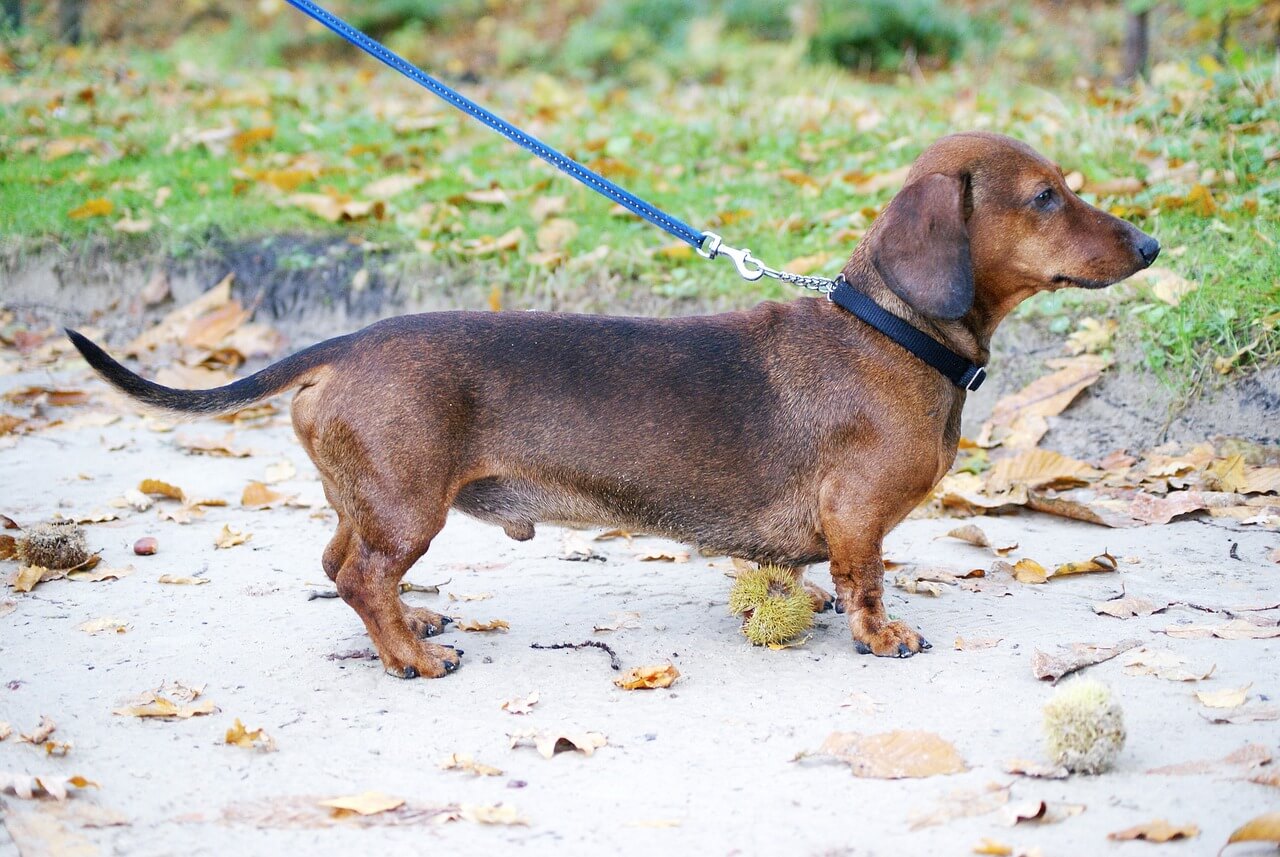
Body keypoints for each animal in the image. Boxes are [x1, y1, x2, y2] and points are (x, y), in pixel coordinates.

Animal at [64, 134, 1157, 680]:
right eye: (1047, 196)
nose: (1150, 245)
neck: (890, 332)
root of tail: (349, 341)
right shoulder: (856, 516)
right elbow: (867, 579)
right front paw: (880, 637)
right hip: (407, 507)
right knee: (364, 578)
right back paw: (414, 653)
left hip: (369, 498)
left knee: (340, 567)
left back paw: (415, 623)